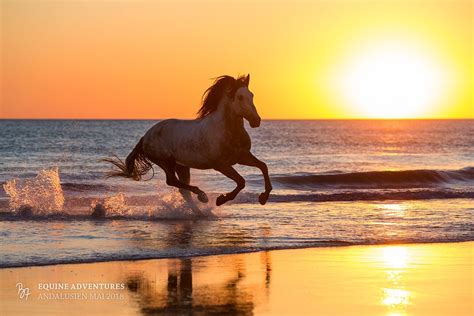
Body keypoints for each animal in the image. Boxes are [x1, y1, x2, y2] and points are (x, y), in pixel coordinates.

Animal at [105, 74, 272, 212]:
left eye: (251, 95)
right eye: (239, 97)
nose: (256, 121)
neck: (227, 130)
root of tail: (145, 137)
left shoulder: (242, 157)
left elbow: (263, 166)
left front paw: (263, 198)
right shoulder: (221, 165)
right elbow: (241, 181)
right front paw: (221, 199)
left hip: (182, 166)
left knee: (182, 190)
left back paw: (199, 212)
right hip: (166, 162)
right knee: (172, 181)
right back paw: (202, 196)